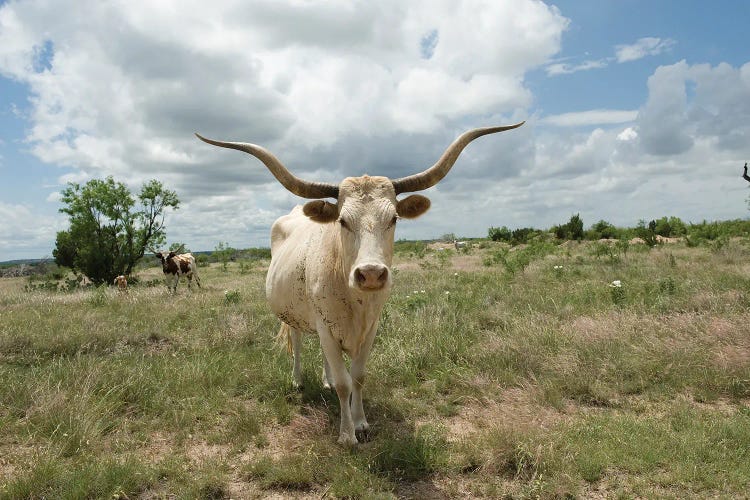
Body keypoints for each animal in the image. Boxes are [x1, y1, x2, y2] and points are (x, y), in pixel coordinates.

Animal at [200, 122, 528, 446]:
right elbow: (344, 383)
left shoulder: (370, 328)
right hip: (295, 317)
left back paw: (325, 380)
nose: (371, 273)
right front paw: (346, 435)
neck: (354, 299)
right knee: (298, 343)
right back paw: (298, 381)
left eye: (394, 218)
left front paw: (360, 423)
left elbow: (357, 376)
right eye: (343, 221)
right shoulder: (325, 326)